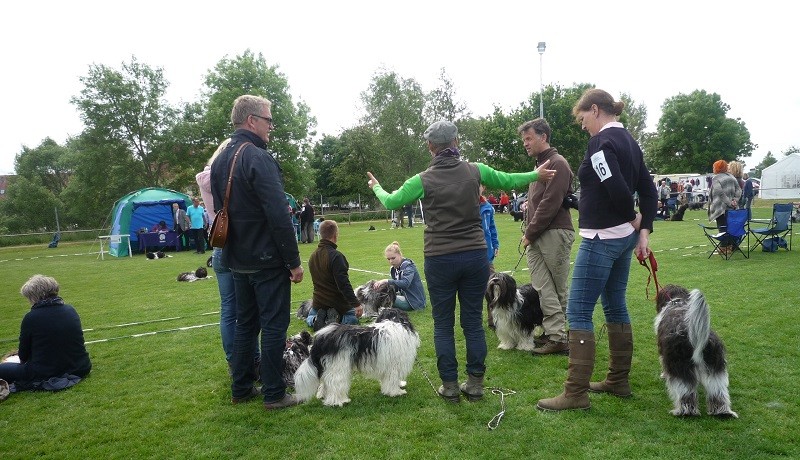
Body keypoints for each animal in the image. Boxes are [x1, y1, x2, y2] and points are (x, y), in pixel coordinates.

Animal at [656, 284, 736, 416]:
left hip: (680, 366)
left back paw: (684, 412)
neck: (677, 302)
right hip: (715, 367)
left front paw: (663, 375)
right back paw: (722, 412)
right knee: (718, 391)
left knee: (686, 392)